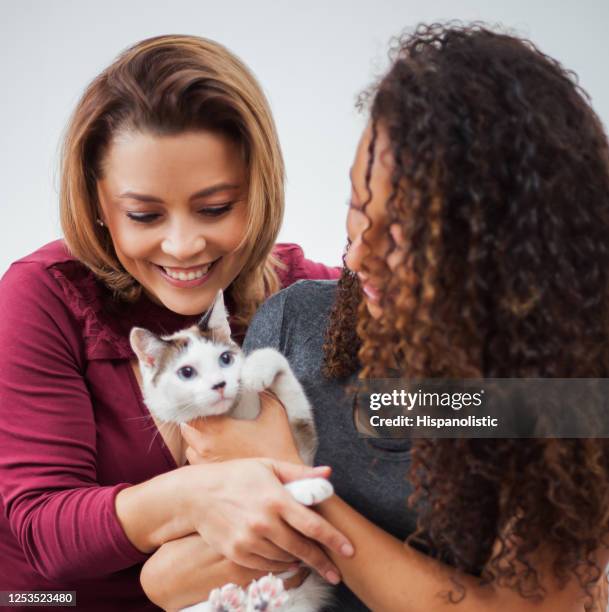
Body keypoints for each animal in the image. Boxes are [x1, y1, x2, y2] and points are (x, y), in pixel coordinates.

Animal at [127, 292, 332, 612]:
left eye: (225, 358)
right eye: (186, 372)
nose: (220, 384)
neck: (235, 413)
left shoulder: (303, 442)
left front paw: (254, 371)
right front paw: (306, 487)